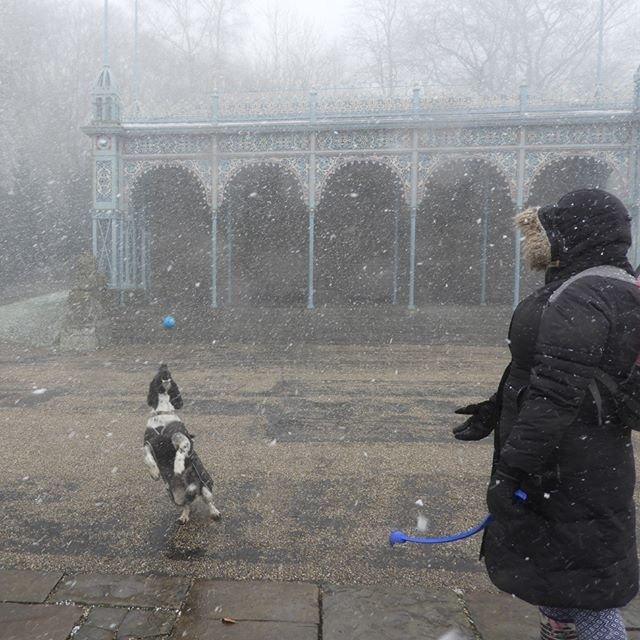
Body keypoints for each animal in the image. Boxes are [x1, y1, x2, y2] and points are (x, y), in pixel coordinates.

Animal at [142, 362, 220, 524]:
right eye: (157, 373)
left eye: (170, 374)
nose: (164, 365)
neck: (163, 412)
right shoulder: (148, 441)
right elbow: (146, 456)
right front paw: (154, 472)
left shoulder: (181, 436)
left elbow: (181, 446)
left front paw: (178, 466)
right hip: (174, 495)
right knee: (186, 503)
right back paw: (184, 516)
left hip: (205, 484)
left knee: (208, 500)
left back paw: (214, 512)